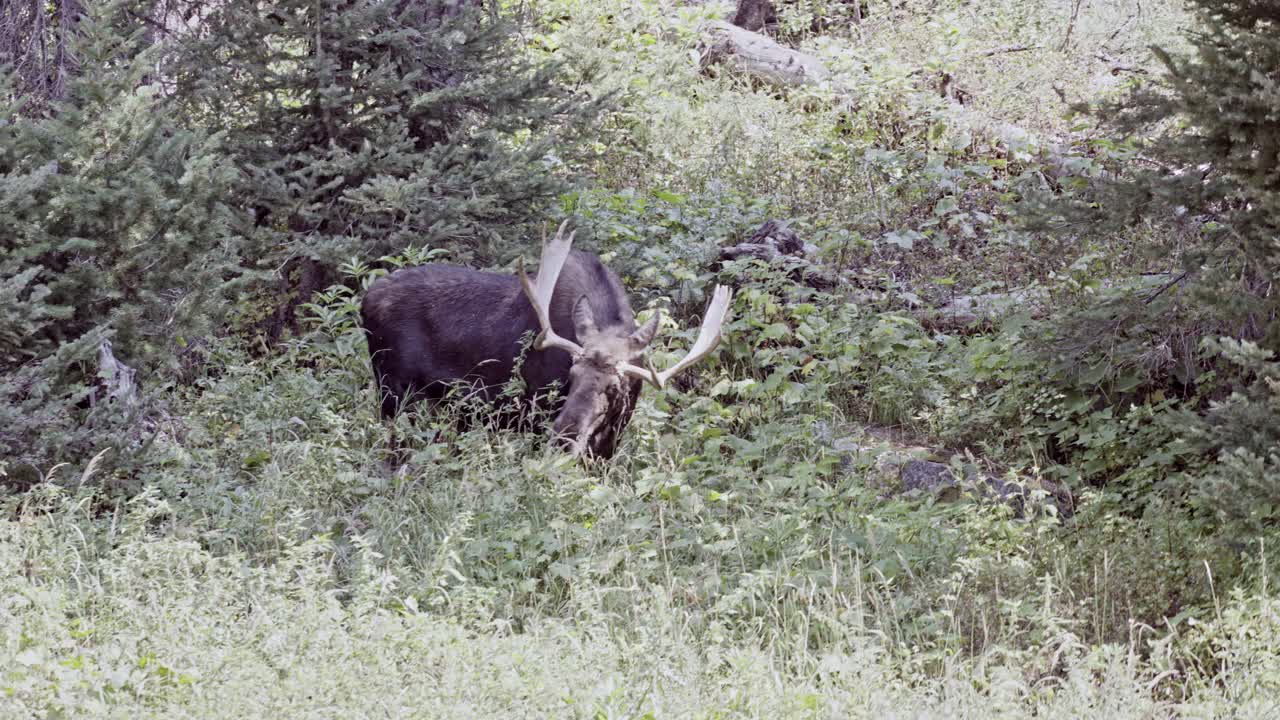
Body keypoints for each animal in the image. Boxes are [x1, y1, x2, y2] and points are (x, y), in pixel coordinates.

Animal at [360, 219, 732, 456]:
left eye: (615, 387)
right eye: (571, 373)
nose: (565, 436)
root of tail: (365, 300)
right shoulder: (535, 417)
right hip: (393, 393)